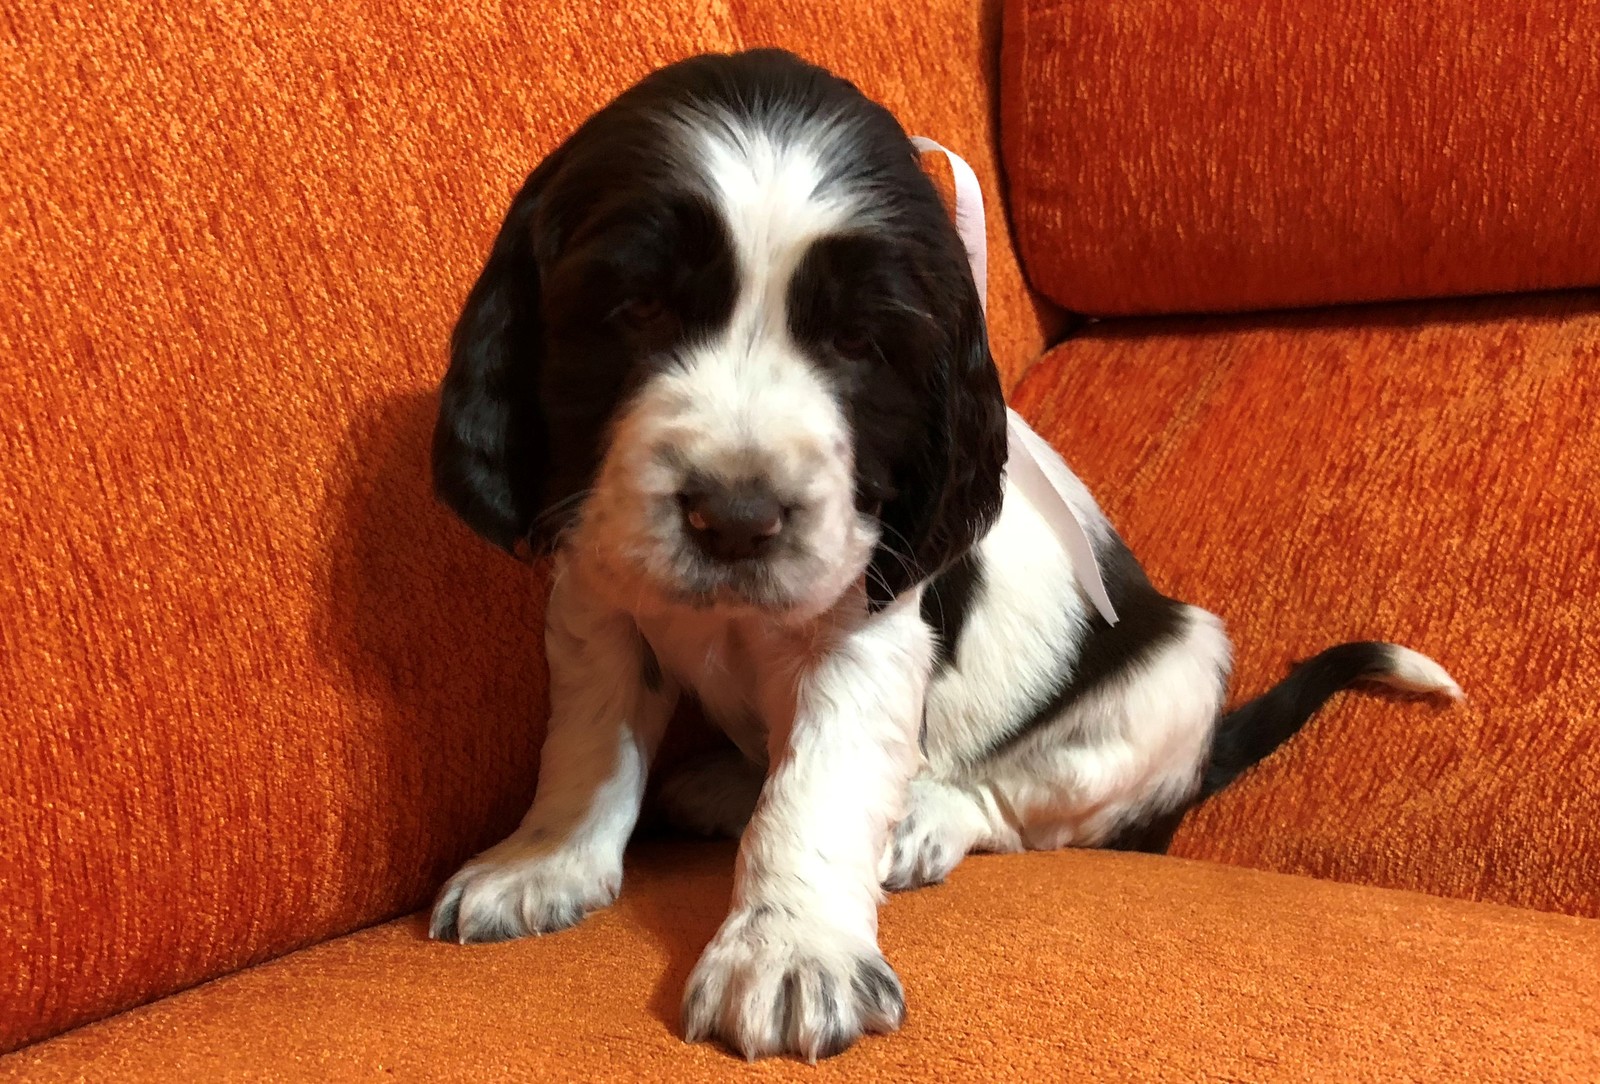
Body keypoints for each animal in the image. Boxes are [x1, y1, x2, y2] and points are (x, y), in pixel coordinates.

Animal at [426, 48, 1461, 1061]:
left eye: (859, 341)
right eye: (636, 309)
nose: (737, 517)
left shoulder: (868, 630)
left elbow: (817, 790)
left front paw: (790, 951)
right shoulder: (598, 592)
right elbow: (591, 740)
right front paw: (543, 860)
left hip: (1172, 674)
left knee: (1020, 807)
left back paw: (923, 816)